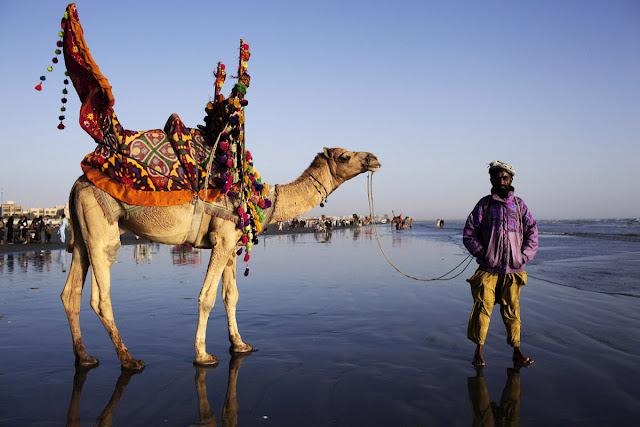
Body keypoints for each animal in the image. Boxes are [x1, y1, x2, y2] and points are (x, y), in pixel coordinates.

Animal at [60, 145, 380, 370]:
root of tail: (76, 185)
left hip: (82, 236)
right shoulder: (222, 239)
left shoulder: (230, 245)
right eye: (344, 156)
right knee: (100, 297)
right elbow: (207, 297)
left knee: (70, 293)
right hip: (103, 233)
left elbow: (231, 295)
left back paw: (85, 357)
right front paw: (202, 354)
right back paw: (129, 360)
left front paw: (240, 344)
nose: (374, 158)